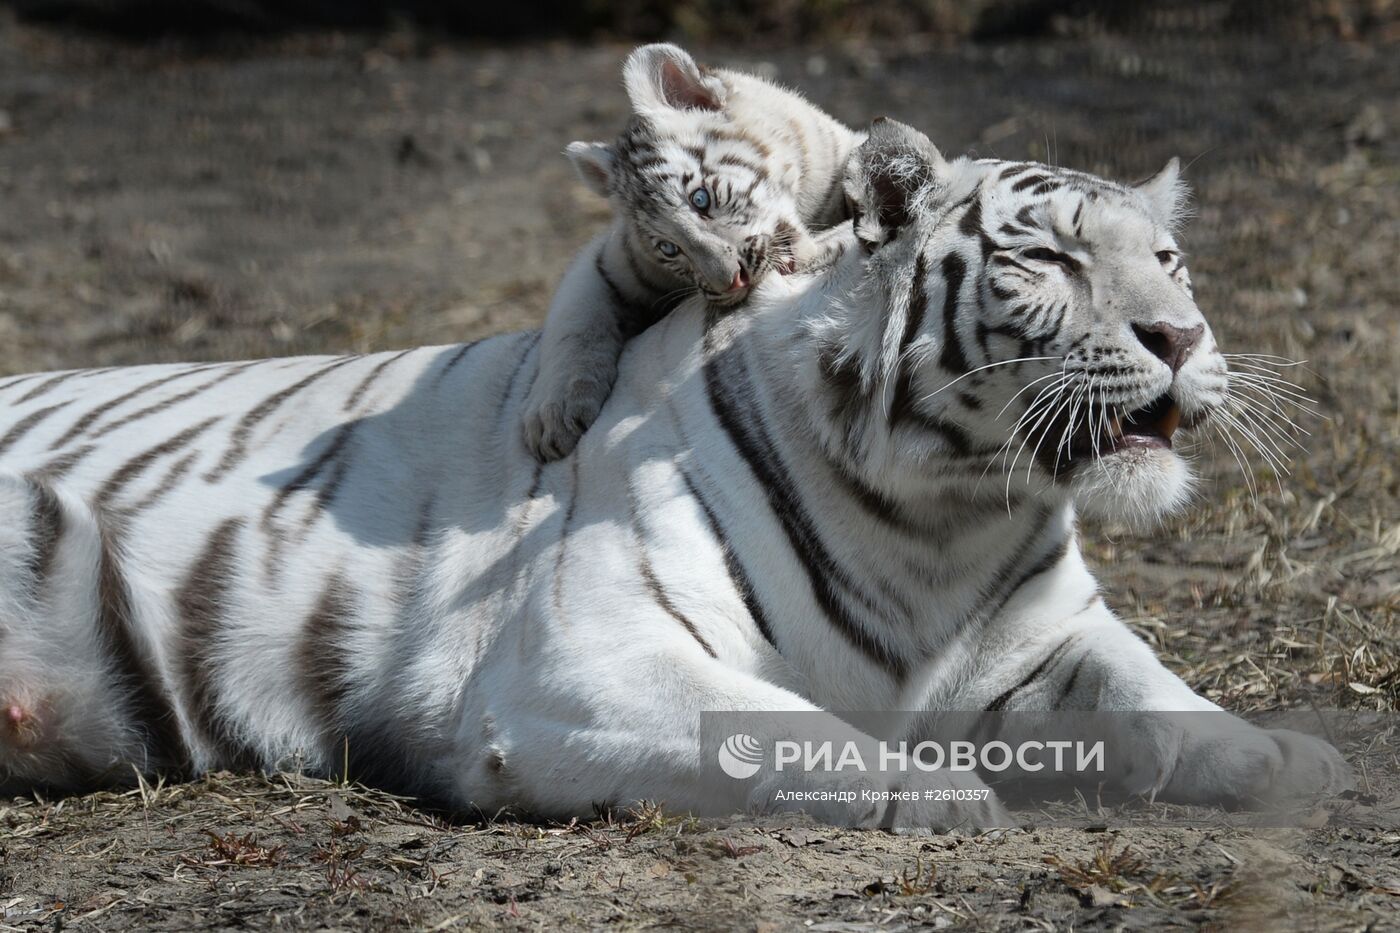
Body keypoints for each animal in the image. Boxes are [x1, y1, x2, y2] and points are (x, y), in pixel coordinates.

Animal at [0, 116, 1344, 823]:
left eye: (1166, 259)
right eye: (1050, 263)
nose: (1182, 337)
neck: (943, 517)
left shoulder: (1048, 638)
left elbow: (1155, 692)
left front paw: (1284, 760)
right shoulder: (581, 664)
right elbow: (788, 732)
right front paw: (946, 791)